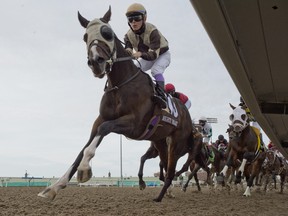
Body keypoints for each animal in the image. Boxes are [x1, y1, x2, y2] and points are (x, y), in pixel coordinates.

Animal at [37, 6, 196, 202]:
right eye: (85, 36)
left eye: (108, 33)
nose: (95, 62)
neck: (119, 84)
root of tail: (186, 112)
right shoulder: (99, 120)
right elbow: (83, 148)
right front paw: (54, 187)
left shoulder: (134, 125)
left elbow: (104, 129)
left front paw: (84, 170)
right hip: (159, 140)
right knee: (166, 165)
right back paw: (168, 192)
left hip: (176, 142)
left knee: (171, 169)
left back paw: (160, 196)